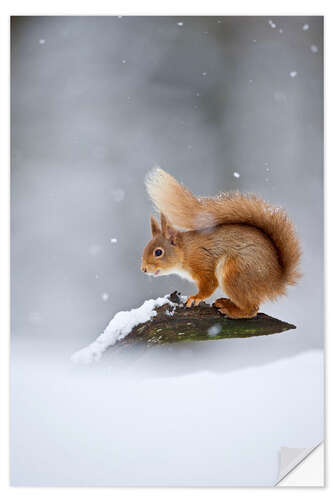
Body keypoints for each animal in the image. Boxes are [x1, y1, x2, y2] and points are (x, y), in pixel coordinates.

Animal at [140, 167, 300, 316]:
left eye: (158, 252)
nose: (143, 269)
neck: (186, 251)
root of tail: (276, 281)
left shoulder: (202, 261)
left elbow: (210, 283)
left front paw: (196, 297)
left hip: (235, 273)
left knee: (251, 309)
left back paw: (230, 309)